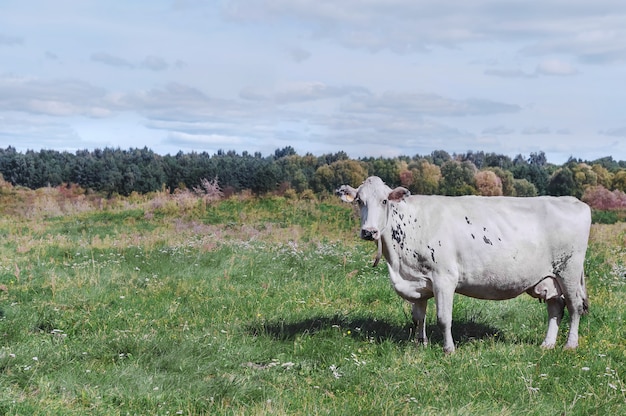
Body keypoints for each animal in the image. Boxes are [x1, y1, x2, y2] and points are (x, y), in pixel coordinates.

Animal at [334, 176, 588, 354]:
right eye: (359, 201)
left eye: (384, 200)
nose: (369, 232)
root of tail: (573, 201)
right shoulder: (417, 282)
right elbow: (418, 317)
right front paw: (420, 345)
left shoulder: (444, 278)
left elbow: (443, 318)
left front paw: (449, 349)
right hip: (550, 277)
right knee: (556, 307)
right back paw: (548, 344)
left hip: (569, 272)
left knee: (574, 307)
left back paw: (570, 345)